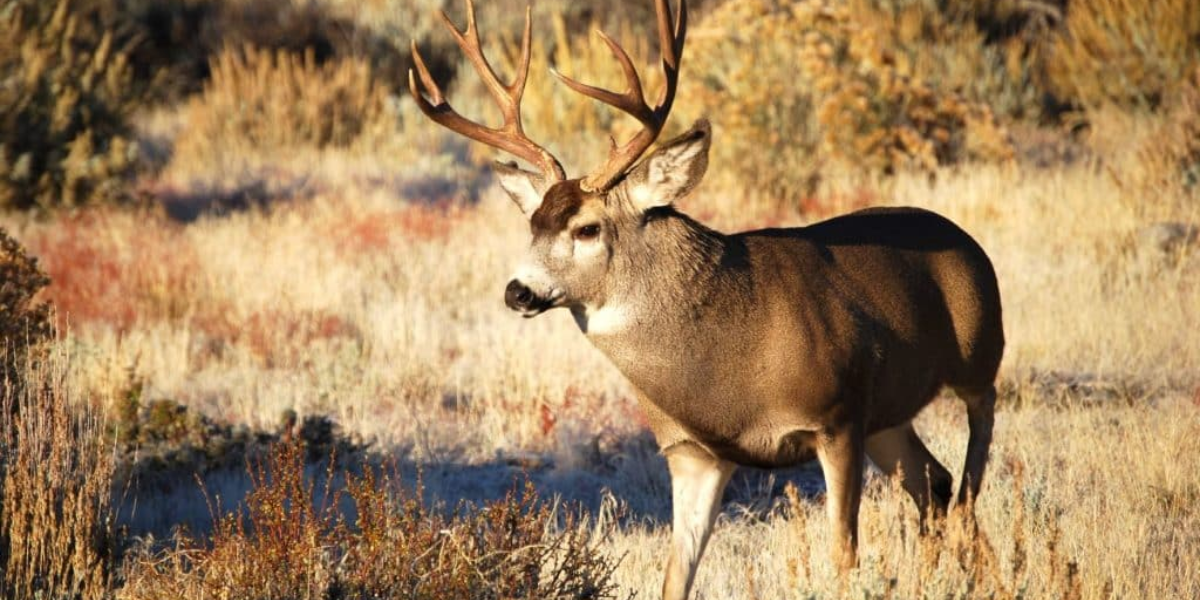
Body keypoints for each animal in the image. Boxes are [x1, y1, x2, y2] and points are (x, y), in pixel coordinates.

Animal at [412, 2, 1003, 597]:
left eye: (587, 228)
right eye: (532, 224)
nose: (517, 290)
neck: (730, 365)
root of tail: (967, 242)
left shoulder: (836, 418)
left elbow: (843, 559)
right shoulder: (693, 453)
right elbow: (676, 575)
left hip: (979, 357)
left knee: (971, 472)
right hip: (888, 419)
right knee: (935, 484)